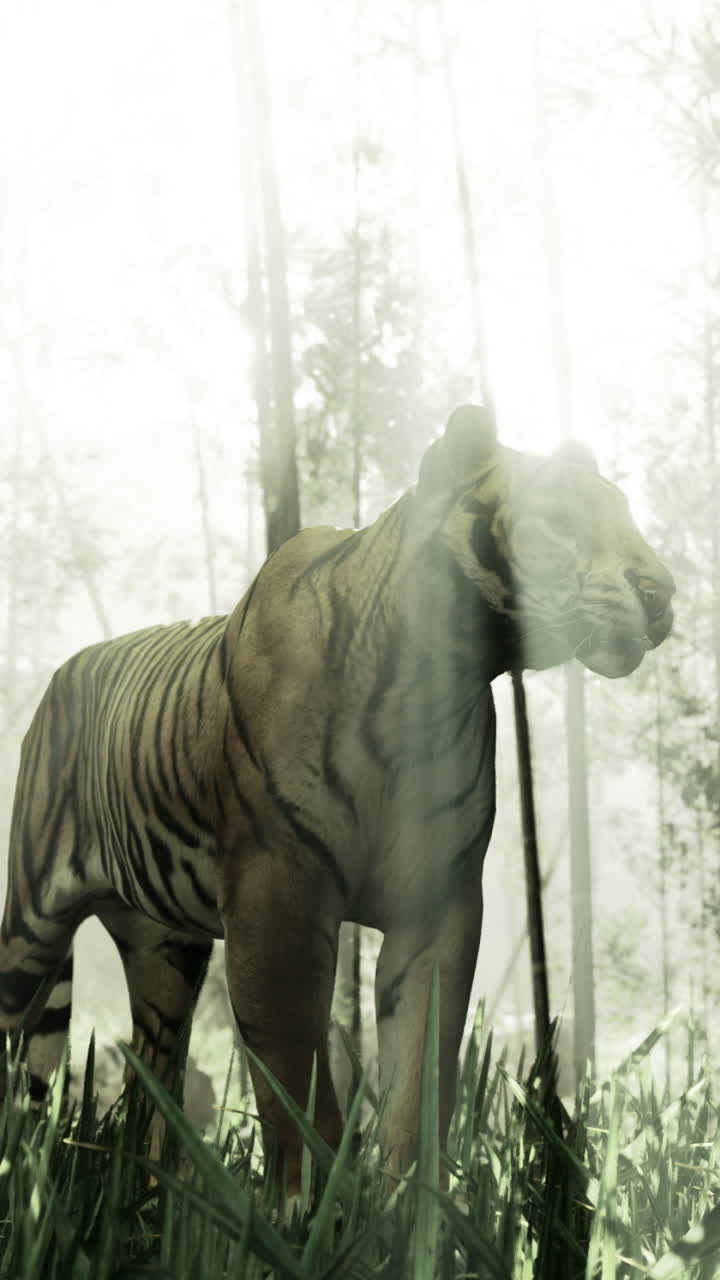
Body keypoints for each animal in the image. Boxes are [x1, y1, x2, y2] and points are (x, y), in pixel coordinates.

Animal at [0, 404, 674, 1204]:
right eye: (561, 518)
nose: (664, 593)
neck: (435, 682)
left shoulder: (438, 905)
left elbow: (420, 1077)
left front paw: (415, 1211)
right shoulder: (278, 893)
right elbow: (297, 1074)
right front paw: (305, 1207)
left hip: (164, 949)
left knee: (155, 1071)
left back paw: (155, 1193)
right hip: (31, 928)